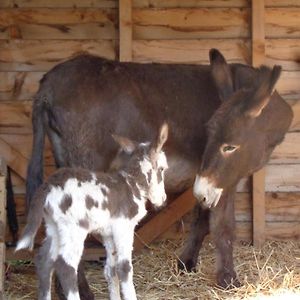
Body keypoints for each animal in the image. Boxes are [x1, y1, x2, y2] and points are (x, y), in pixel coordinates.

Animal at [17, 123, 169, 298]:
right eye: (162, 169)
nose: (163, 199)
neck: (132, 184)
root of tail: (48, 186)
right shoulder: (124, 227)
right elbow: (124, 268)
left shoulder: (108, 234)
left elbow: (111, 270)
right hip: (74, 229)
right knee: (66, 266)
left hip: (54, 227)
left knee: (44, 261)